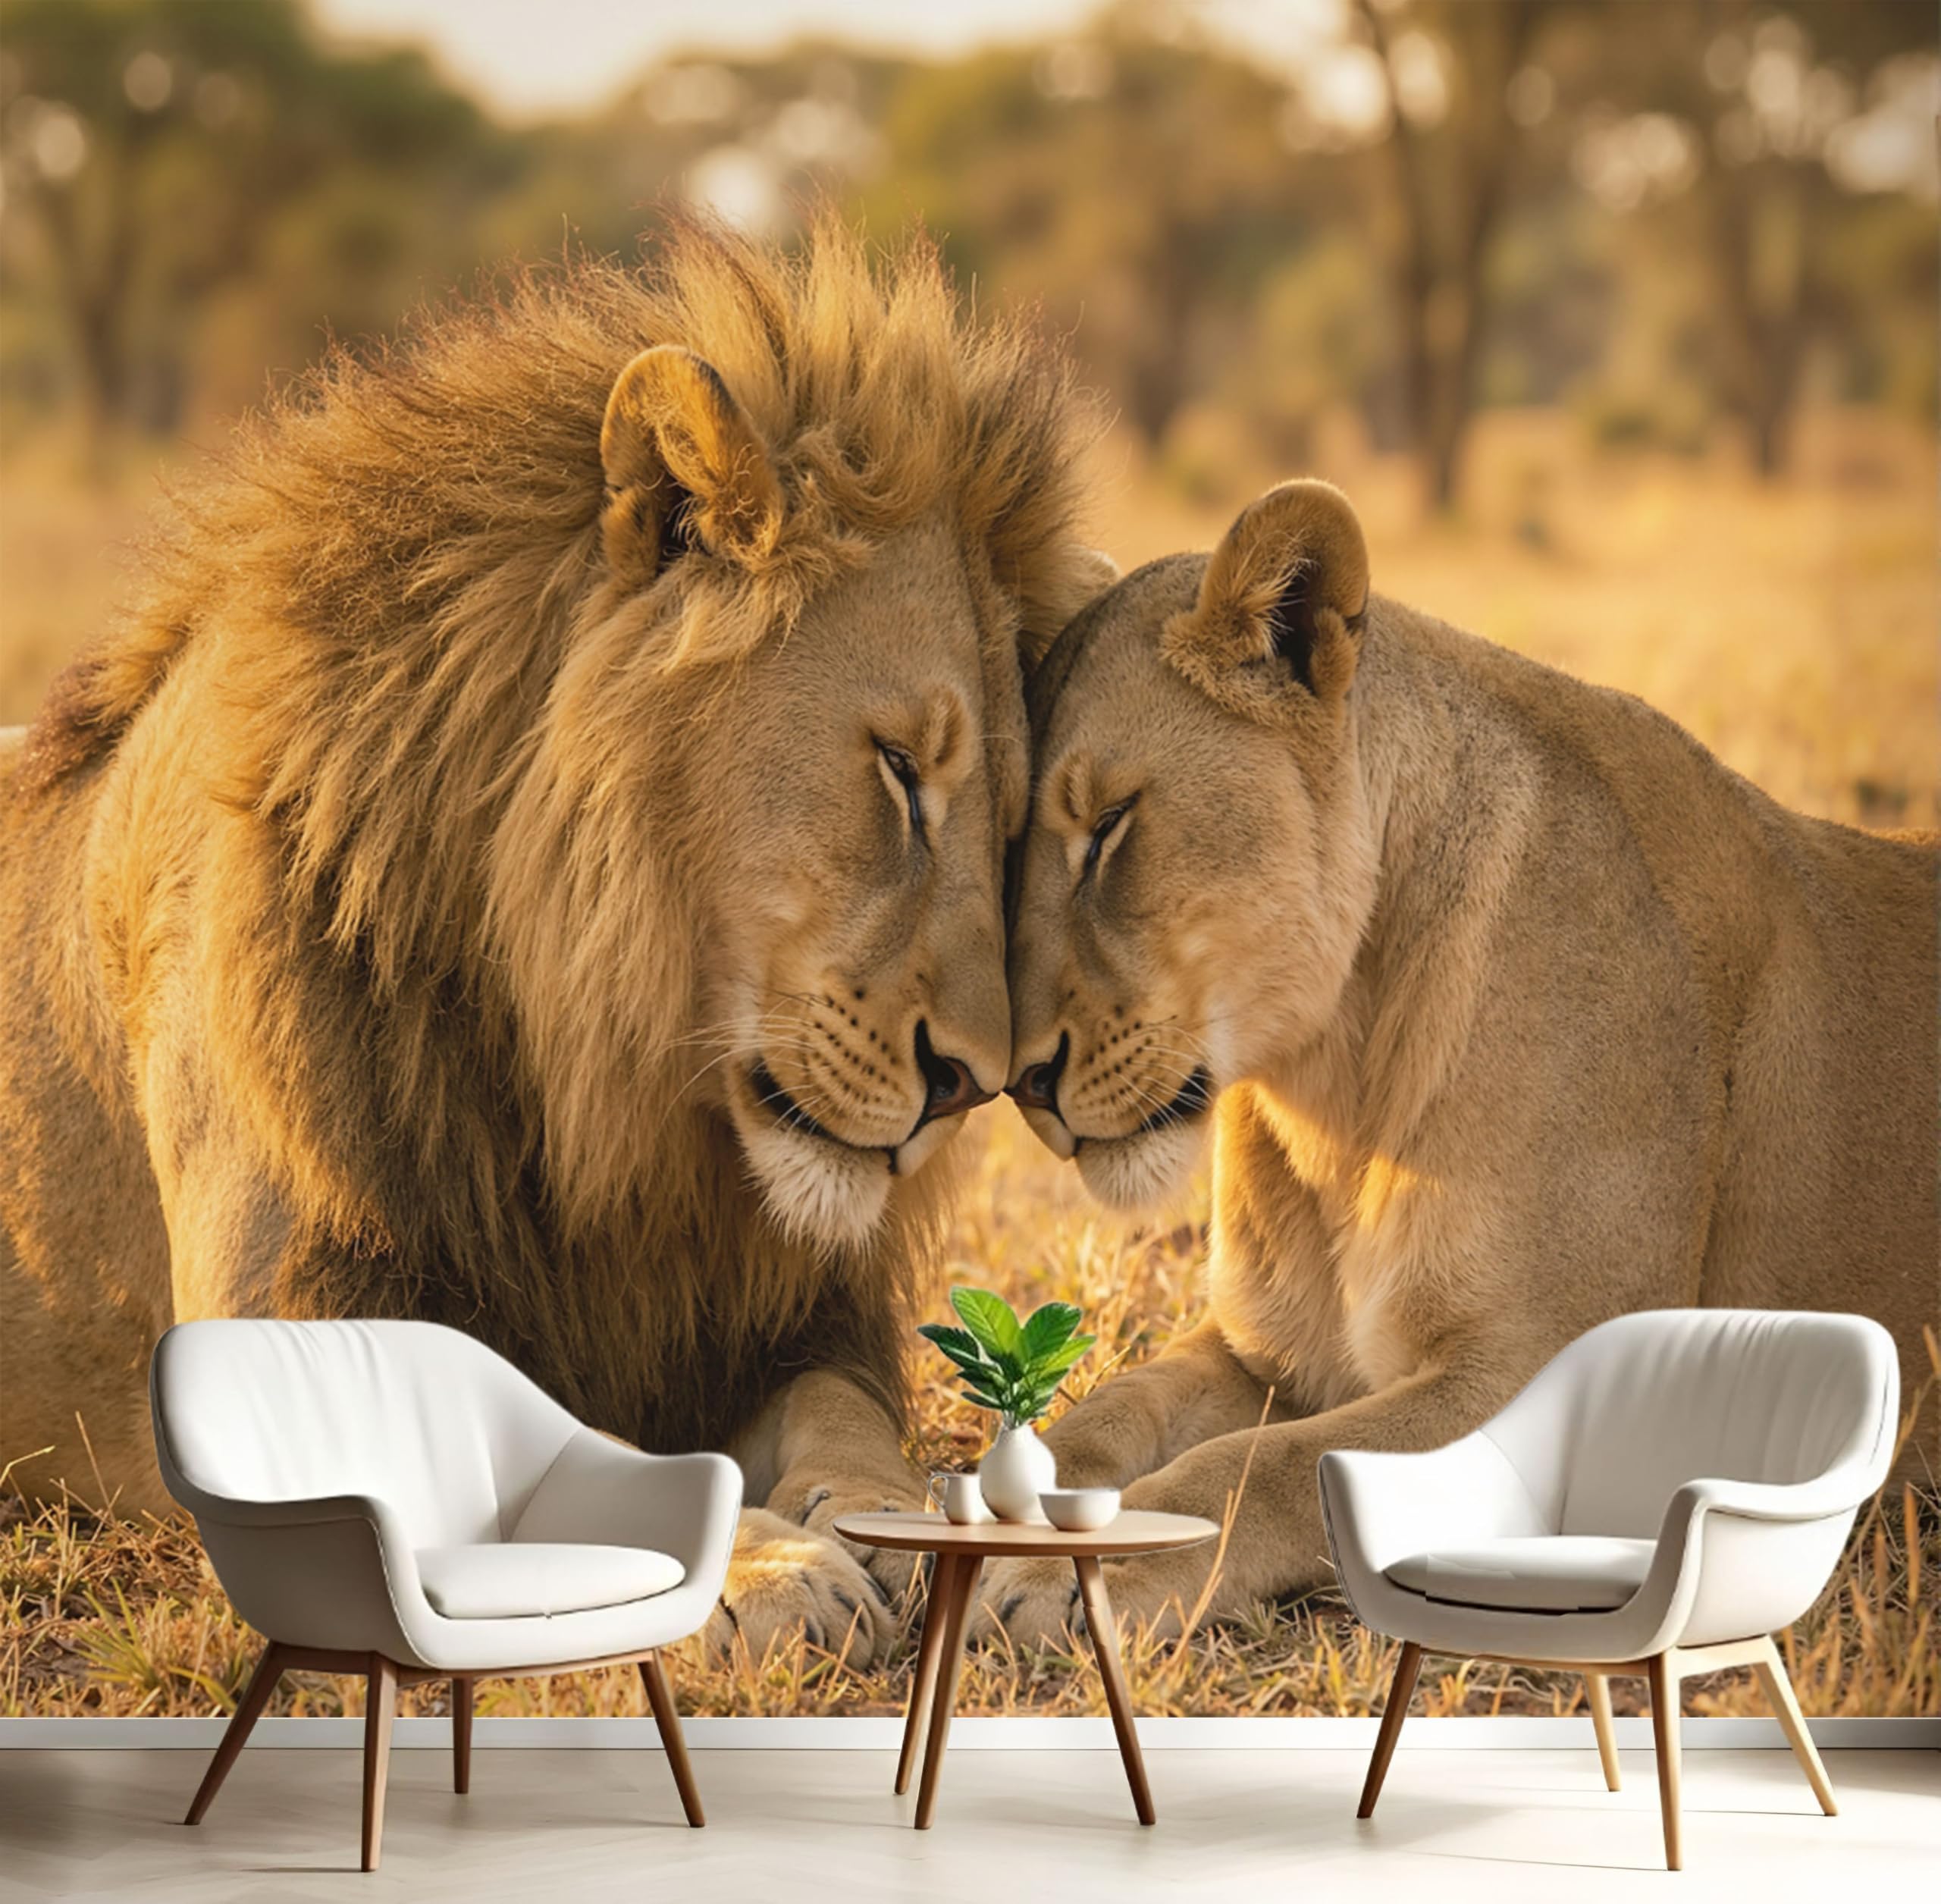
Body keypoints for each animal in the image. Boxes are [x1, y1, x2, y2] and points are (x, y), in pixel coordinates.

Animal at [0, 215, 1108, 1662]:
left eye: (1016, 819)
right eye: (898, 770)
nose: (975, 1081)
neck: (601, 1083)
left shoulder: (778, 1320)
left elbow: (846, 1422)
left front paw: (887, 1516)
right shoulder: (285, 1322)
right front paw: (774, 1568)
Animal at [984, 477, 1937, 1643]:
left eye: (1111, 824)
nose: (1021, 1080)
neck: (1336, 1081)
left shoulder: (1525, 1364)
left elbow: (1266, 1468)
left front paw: (1086, 1564)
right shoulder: (1265, 1352)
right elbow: (1116, 1402)